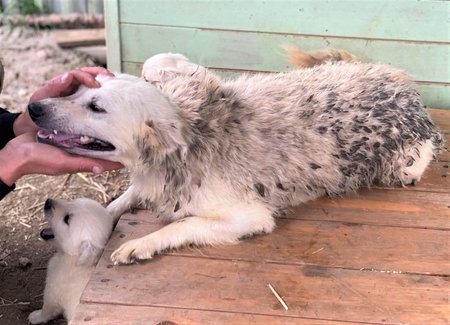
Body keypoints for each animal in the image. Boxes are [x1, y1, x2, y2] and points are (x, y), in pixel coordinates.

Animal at [27, 53, 442, 266]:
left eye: (96, 107)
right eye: (77, 90)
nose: (33, 108)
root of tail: (409, 90)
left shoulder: (250, 216)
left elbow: (183, 224)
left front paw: (141, 244)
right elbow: (119, 201)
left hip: (404, 167)